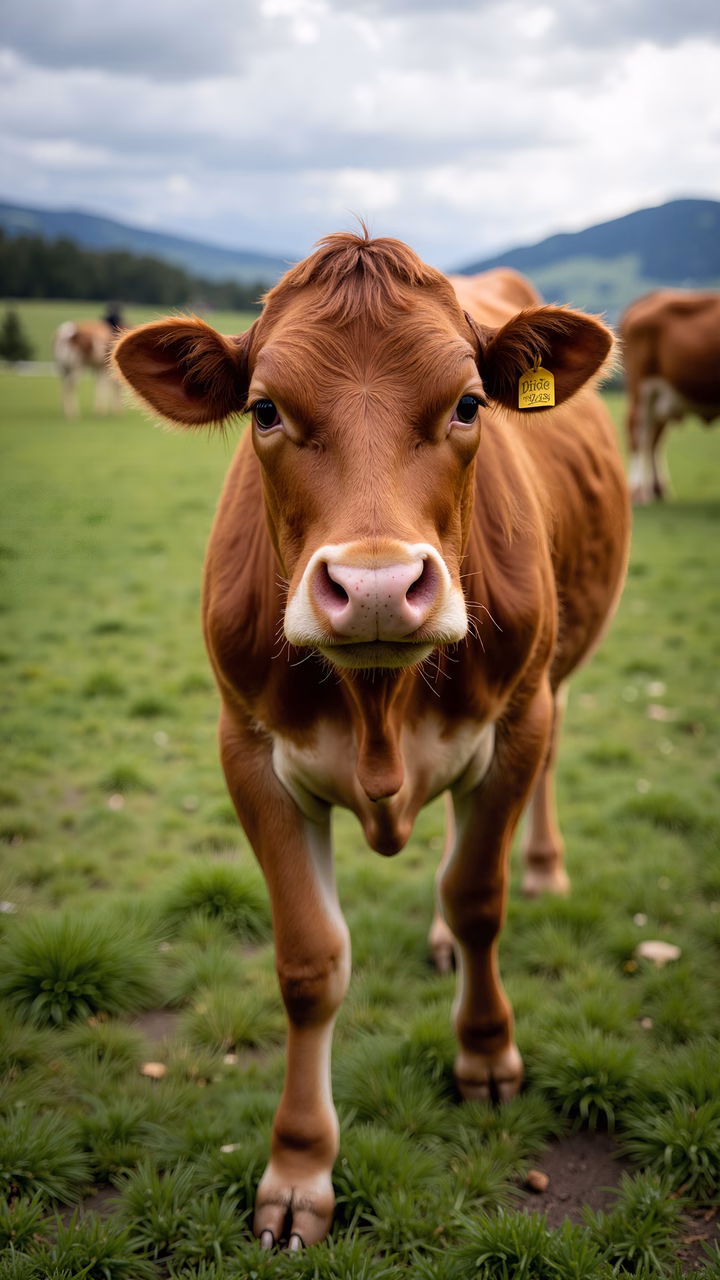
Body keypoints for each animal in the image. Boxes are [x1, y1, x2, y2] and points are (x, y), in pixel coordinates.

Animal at [113, 231, 630, 1252]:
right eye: (266, 409)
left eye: (467, 403)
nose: (381, 587)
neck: (377, 702)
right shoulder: (248, 752)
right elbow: (311, 962)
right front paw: (299, 1170)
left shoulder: (515, 724)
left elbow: (477, 898)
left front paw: (485, 1056)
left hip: (550, 687)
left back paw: (542, 869)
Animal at [621, 289, 720, 504]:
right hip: (643, 386)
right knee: (637, 432)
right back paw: (637, 492)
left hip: (661, 396)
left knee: (653, 438)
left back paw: (658, 490)